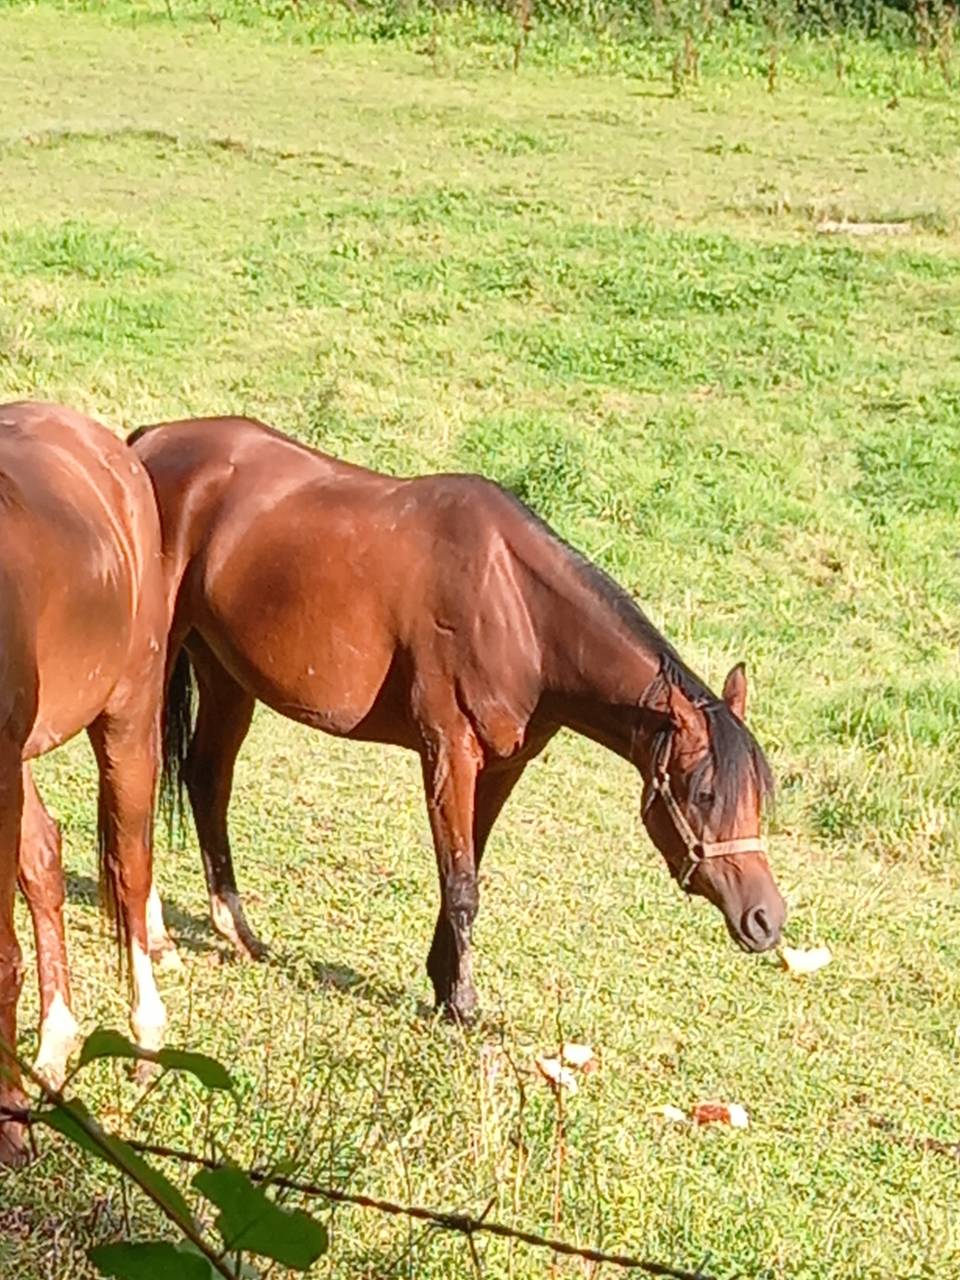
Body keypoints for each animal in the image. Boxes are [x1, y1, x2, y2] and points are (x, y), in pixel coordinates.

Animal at [130, 415, 786, 1023]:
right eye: (703, 793)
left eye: (758, 796)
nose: (766, 919)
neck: (520, 613)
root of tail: (147, 442)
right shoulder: (449, 752)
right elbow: (462, 884)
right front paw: (464, 1004)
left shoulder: (500, 768)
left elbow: (466, 874)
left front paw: (446, 988)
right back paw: (157, 936)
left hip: (226, 674)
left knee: (207, 781)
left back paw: (238, 931)